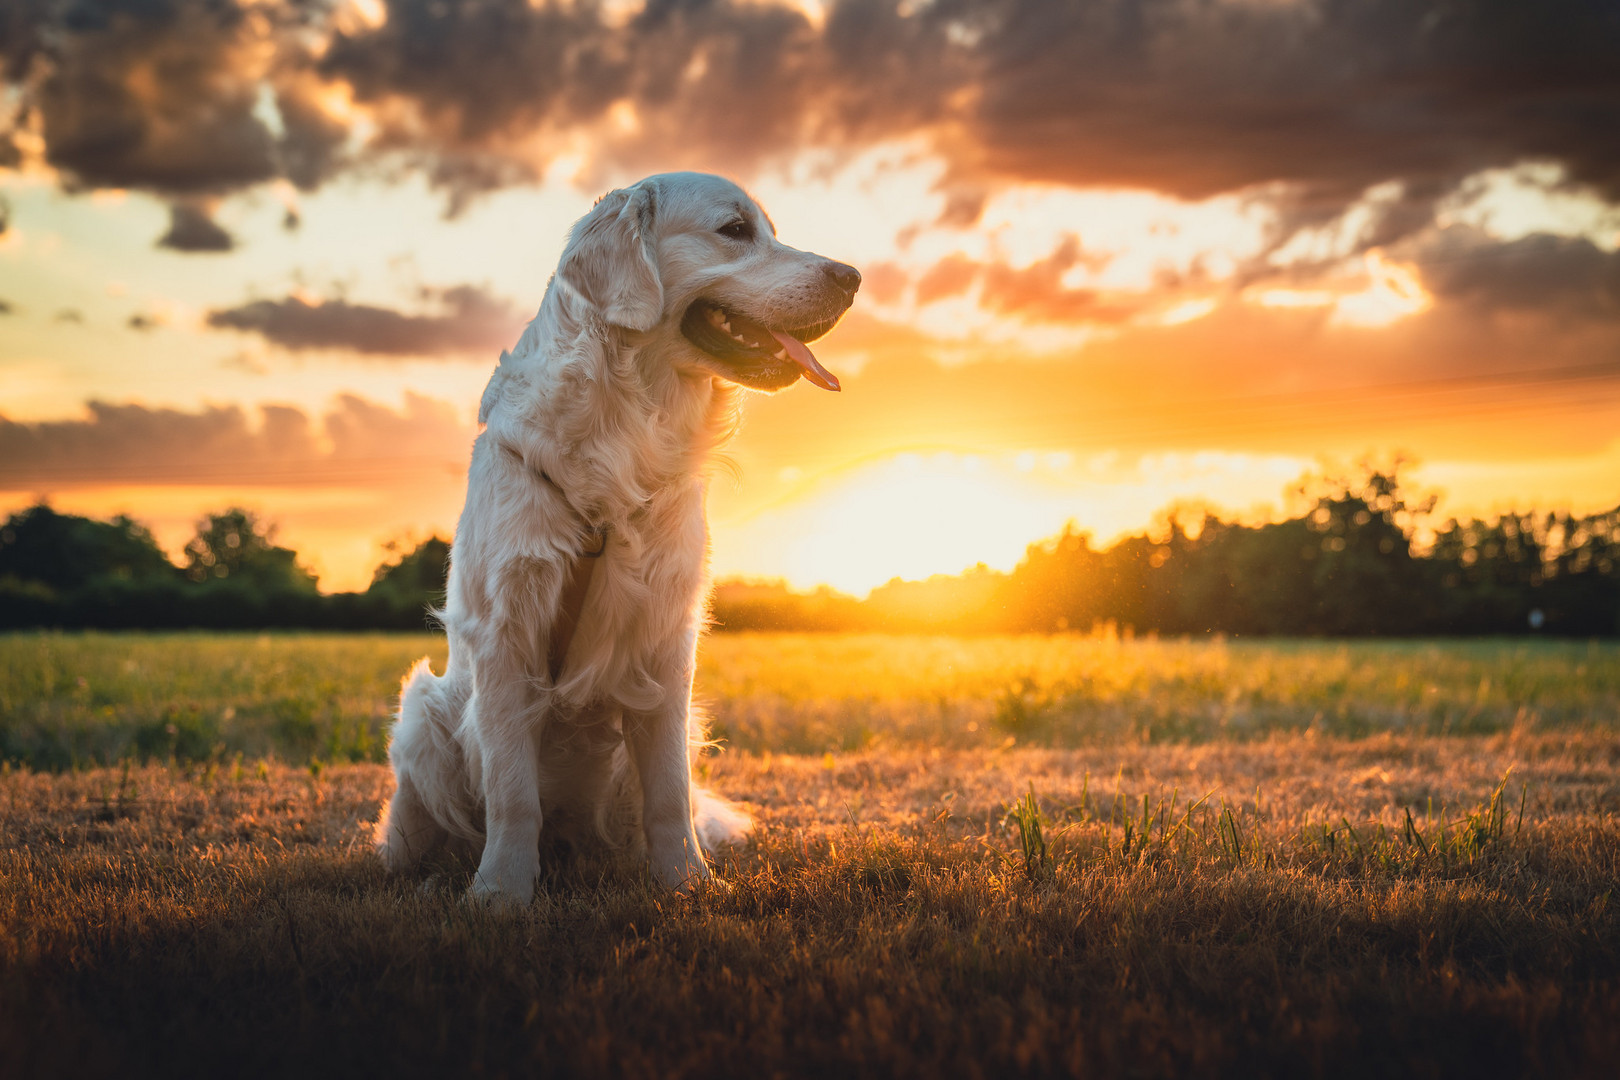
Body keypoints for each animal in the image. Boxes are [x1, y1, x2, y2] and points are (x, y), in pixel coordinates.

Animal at [379, 170, 861, 906]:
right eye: (734, 230)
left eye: (770, 231)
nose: (854, 277)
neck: (626, 426)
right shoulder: (505, 630)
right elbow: (512, 793)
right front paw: (500, 892)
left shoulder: (666, 638)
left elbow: (669, 793)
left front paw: (686, 881)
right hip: (423, 710)